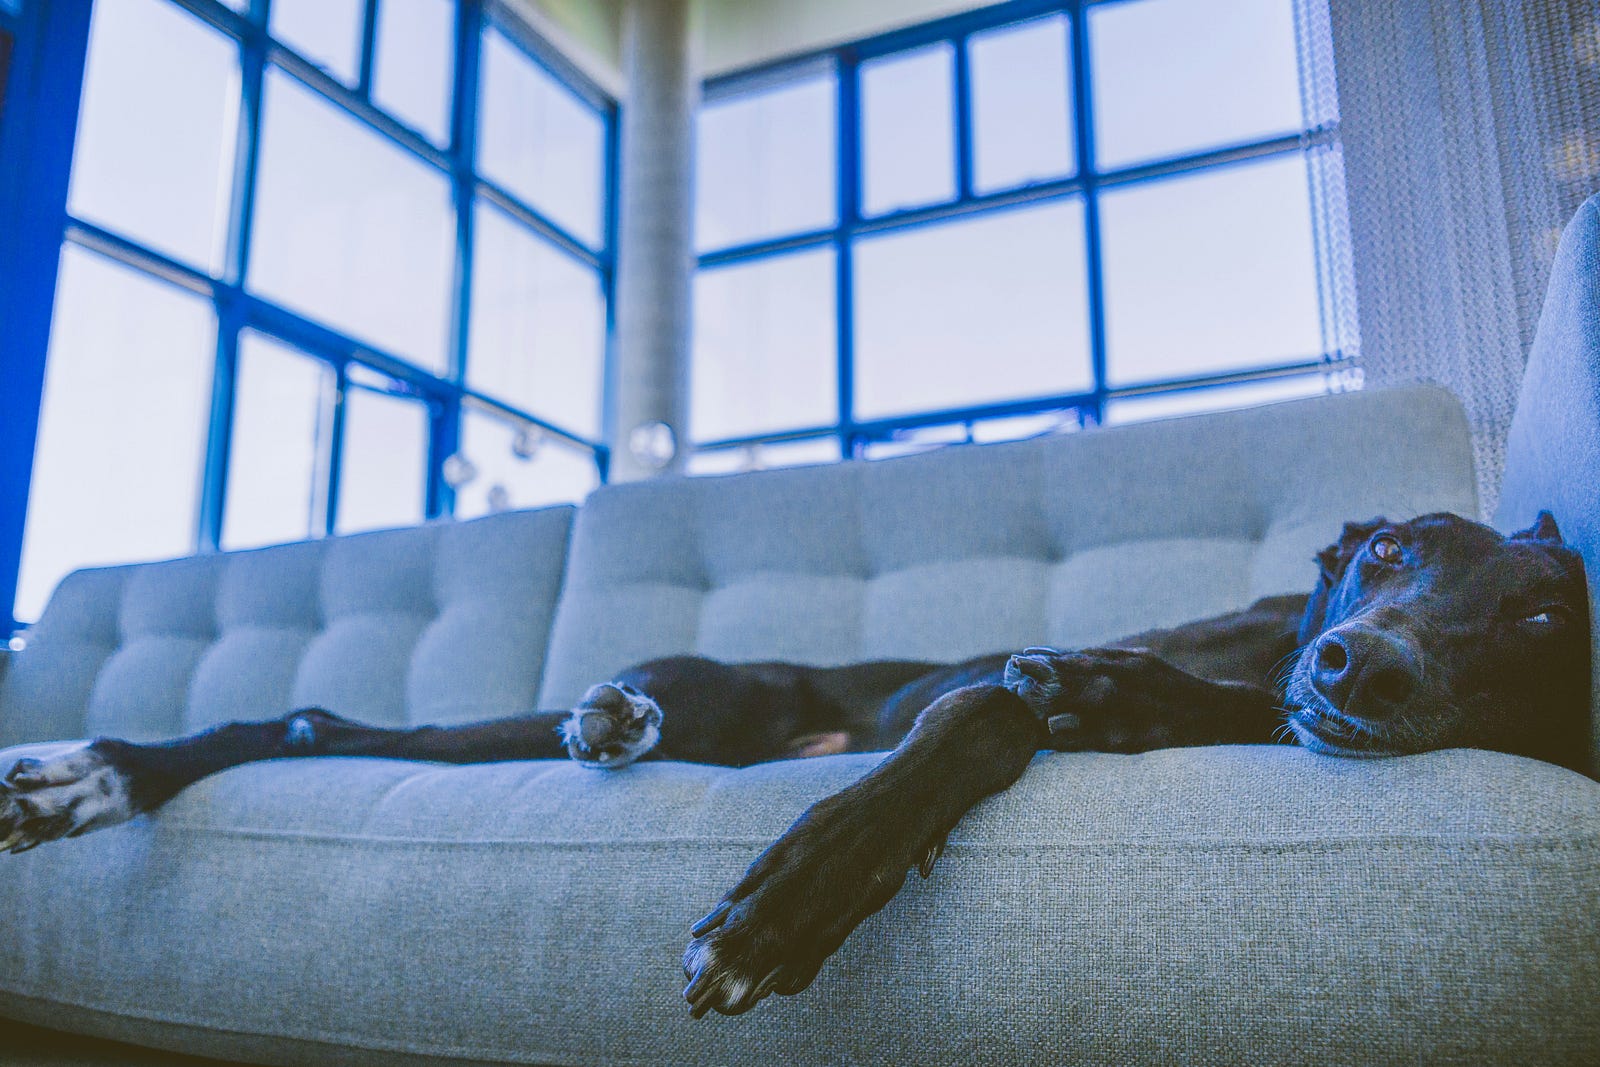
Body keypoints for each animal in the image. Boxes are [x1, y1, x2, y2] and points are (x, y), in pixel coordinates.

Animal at [3, 508, 1587, 1017]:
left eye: (1542, 620)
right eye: (1387, 553)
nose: (1359, 666)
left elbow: (1128, 699)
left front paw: (1119, 694)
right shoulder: (962, 688)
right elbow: (989, 707)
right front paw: (795, 894)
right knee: (315, 726)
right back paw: (87, 770)